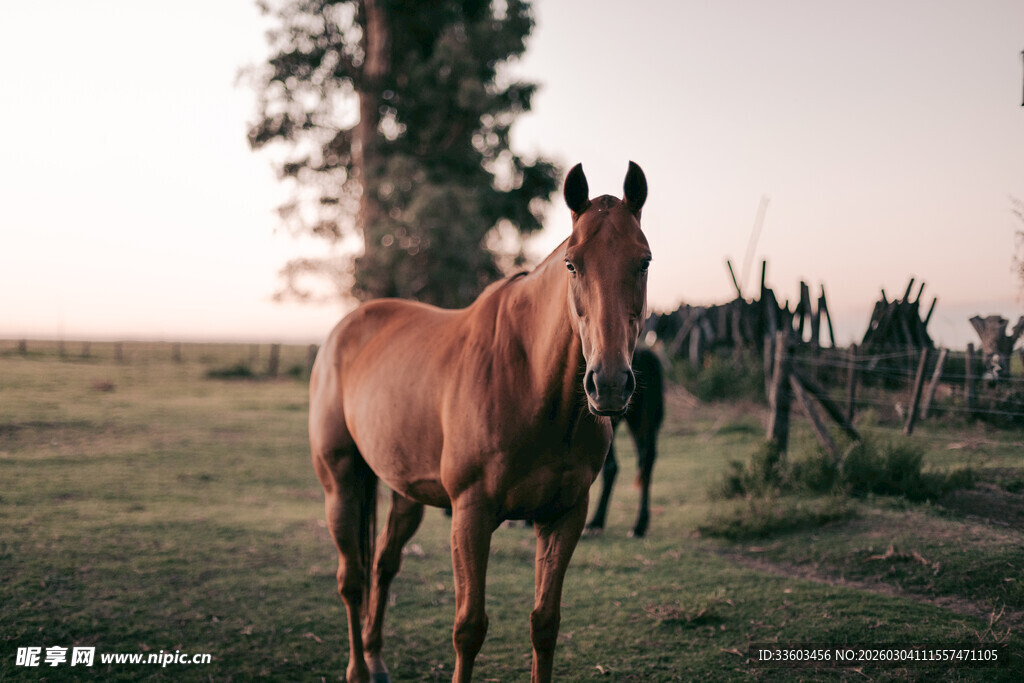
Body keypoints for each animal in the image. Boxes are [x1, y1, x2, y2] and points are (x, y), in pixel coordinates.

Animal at [309, 162, 651, 683]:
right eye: (573, 264)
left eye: (644, 261)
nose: (609, 384)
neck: (530, 381)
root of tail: (344, 328)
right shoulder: (471, 515)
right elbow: (469, 627)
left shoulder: (564, 515)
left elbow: (545, 623)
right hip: (341, 484)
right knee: (352, 579)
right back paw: (357, 669)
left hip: (405, 492)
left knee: (383, 565)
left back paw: (376, 658)